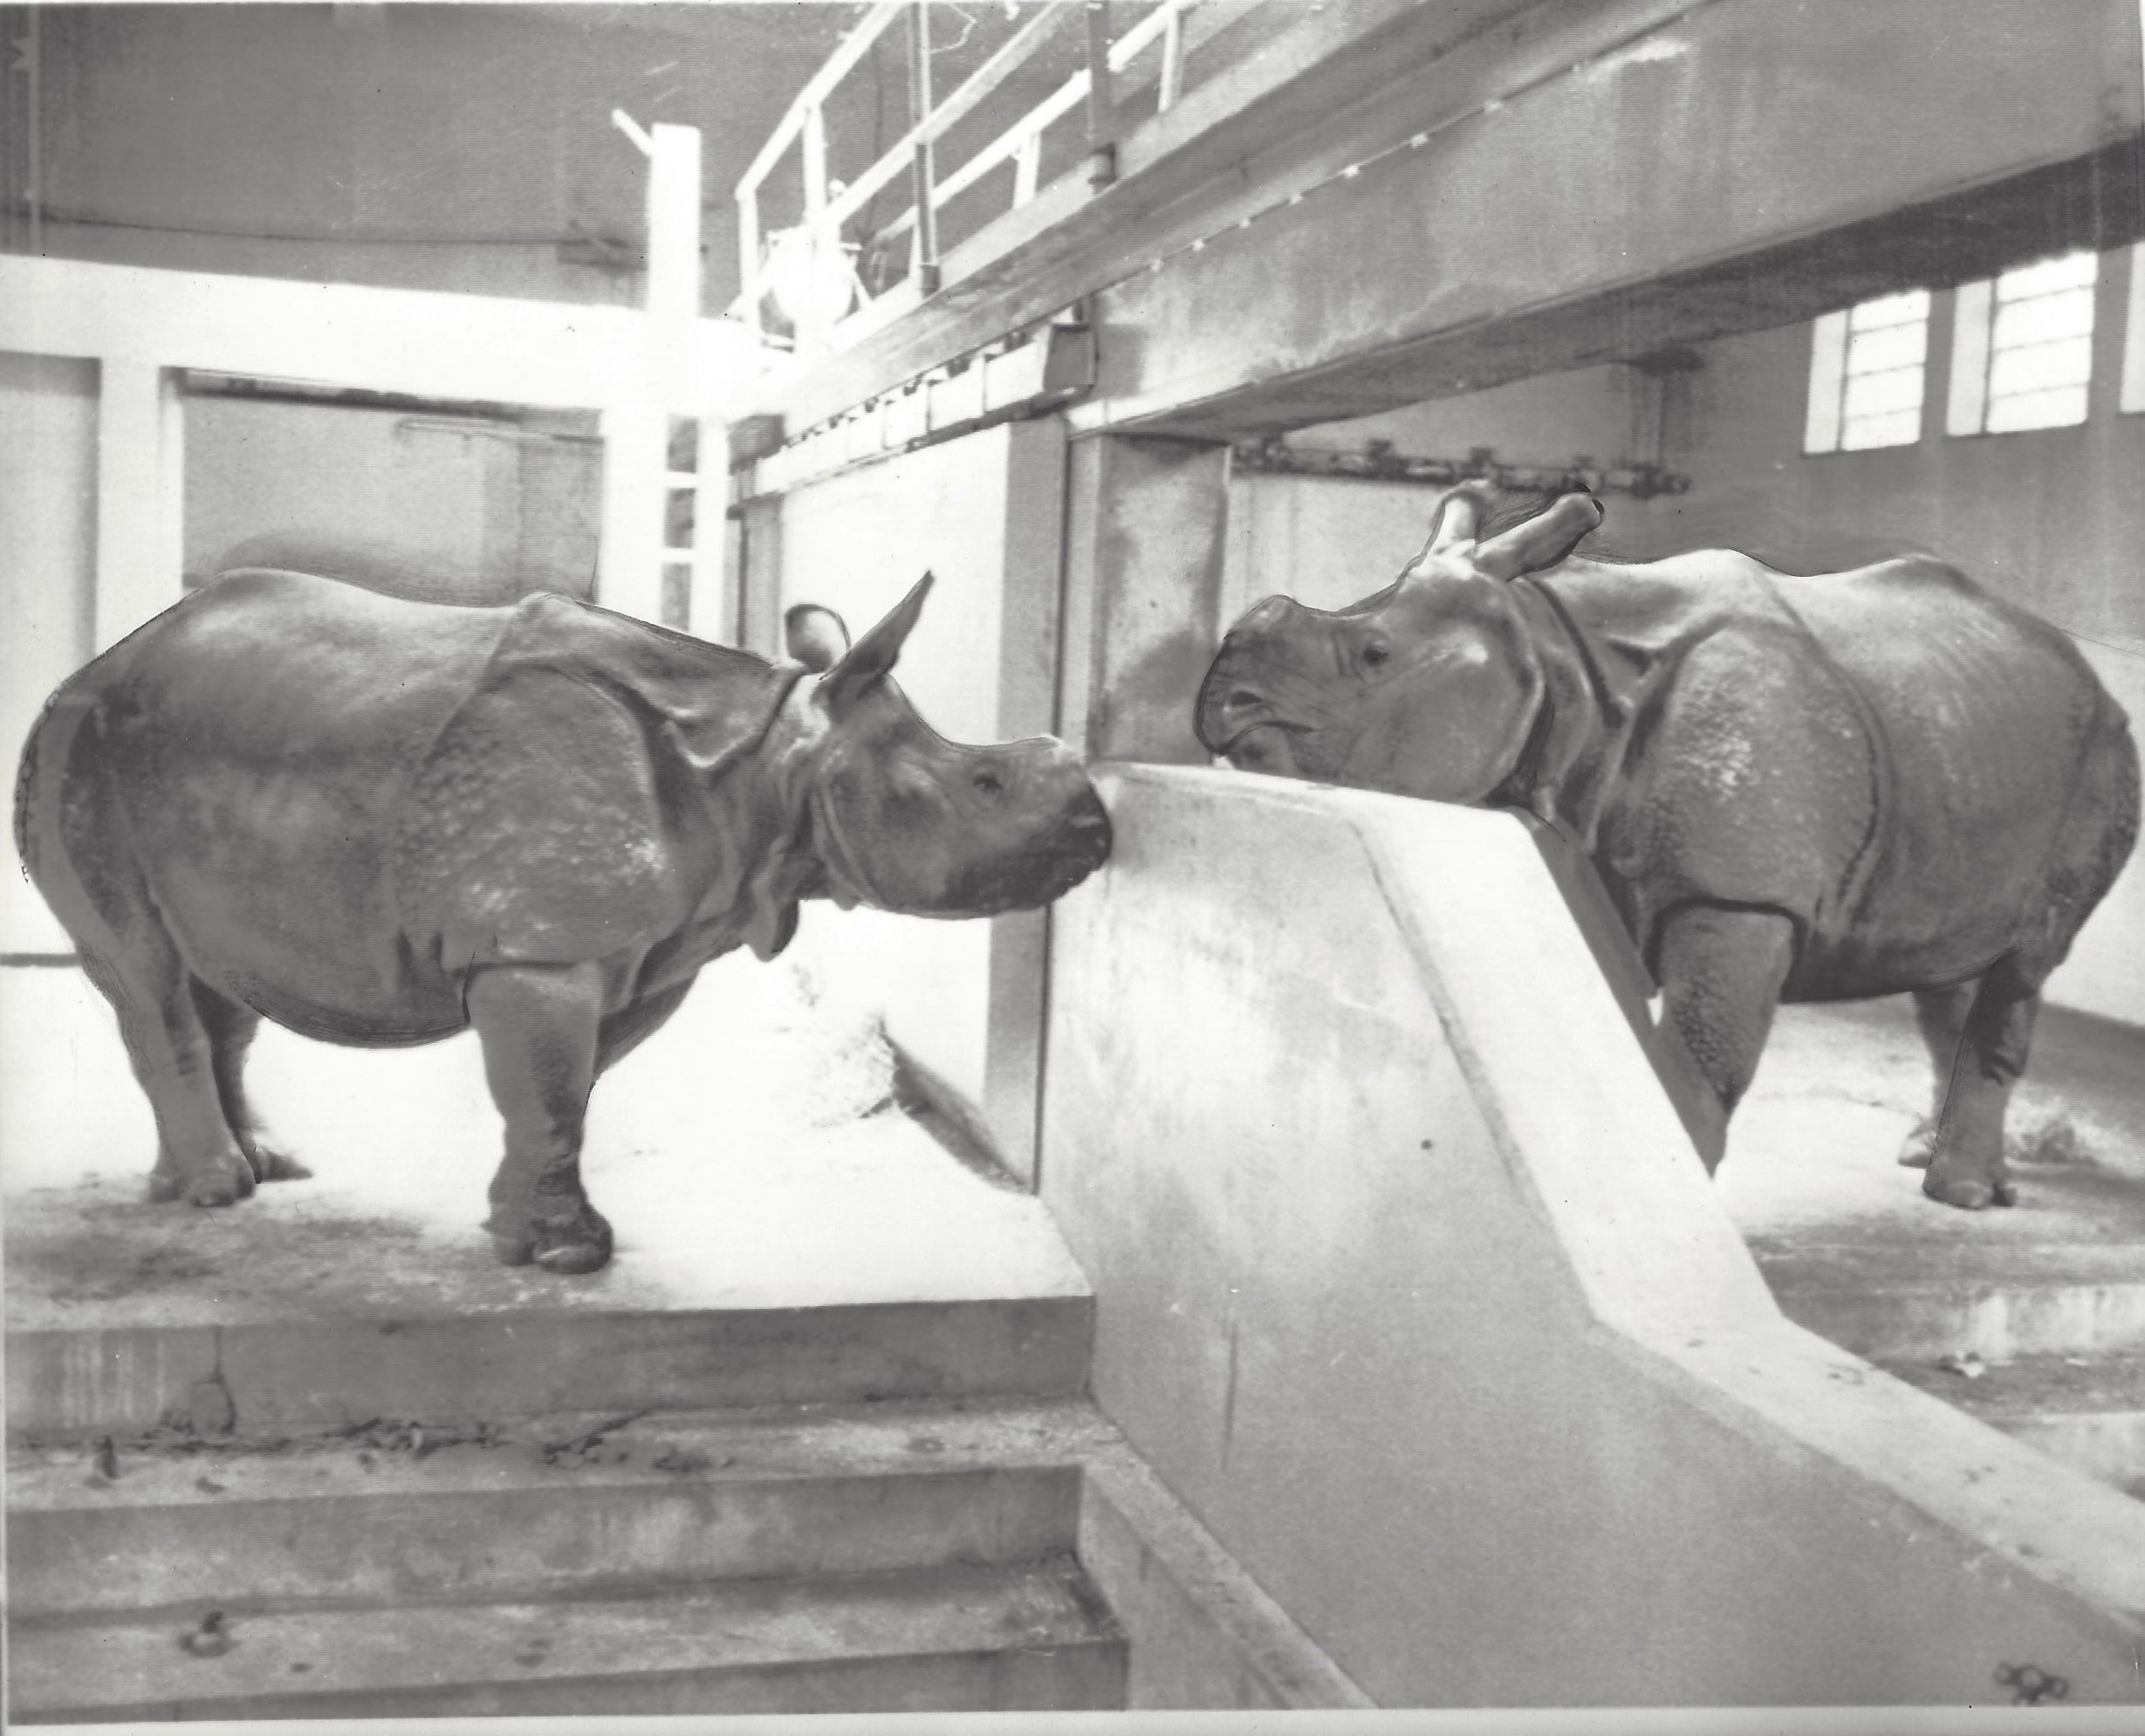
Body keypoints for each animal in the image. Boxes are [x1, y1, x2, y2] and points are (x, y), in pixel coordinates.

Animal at [15, 567, 1110, 1274]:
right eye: (983, 783)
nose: (1101, 829)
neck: (772, 765)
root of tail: (97, 660)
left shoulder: (647, 951)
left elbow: (565, 1094)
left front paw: (513, 1230)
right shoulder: (540, 945)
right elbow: (549, 1093)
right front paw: (573, 1256)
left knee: (218, 978)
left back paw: (258, 1171)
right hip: (81, 746)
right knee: (146, 974)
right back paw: (215, 1192)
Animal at [1195, 482, 2139, 1210]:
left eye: (1373, 652)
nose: (1223, 705)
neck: (1553, 653)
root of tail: (2083, 668)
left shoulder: (1737, 896)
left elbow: (1699, 1057)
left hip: (2104, 755)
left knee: (2028, 956)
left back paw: (1963, 1195)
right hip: (1960, 746)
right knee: (1948, 965)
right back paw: (1923, 1155)